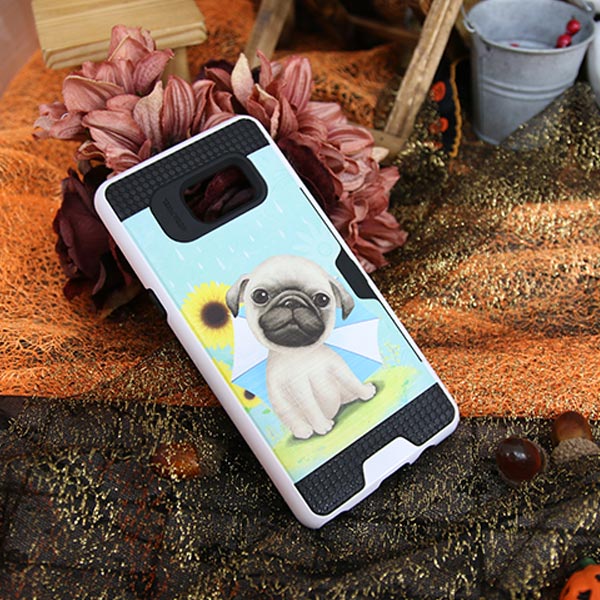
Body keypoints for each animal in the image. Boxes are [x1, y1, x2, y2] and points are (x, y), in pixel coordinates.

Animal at [226, 255, 376, 439]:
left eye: (322, 299)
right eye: (260, 296)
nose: (291, 301)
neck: (302, 355)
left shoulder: (338, 367)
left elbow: (352, 381)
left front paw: (365, 392)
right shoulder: (299, 388)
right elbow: (310, 407)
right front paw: (322, 426)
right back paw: (304, 431)